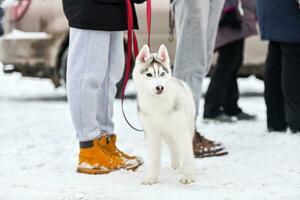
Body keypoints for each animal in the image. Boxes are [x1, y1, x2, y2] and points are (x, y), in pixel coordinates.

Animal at [132, 44, 196, 184]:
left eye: (162, 74)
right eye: (149, 74)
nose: (160, 87)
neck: (157, 105)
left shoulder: (181, 130)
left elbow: (187, 155)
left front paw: (188, 175)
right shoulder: (151, 133)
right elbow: (154, 158)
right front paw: (152, 177)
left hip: (185, 128)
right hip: (167, 134)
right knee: (173, 147)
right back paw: (175, 165)